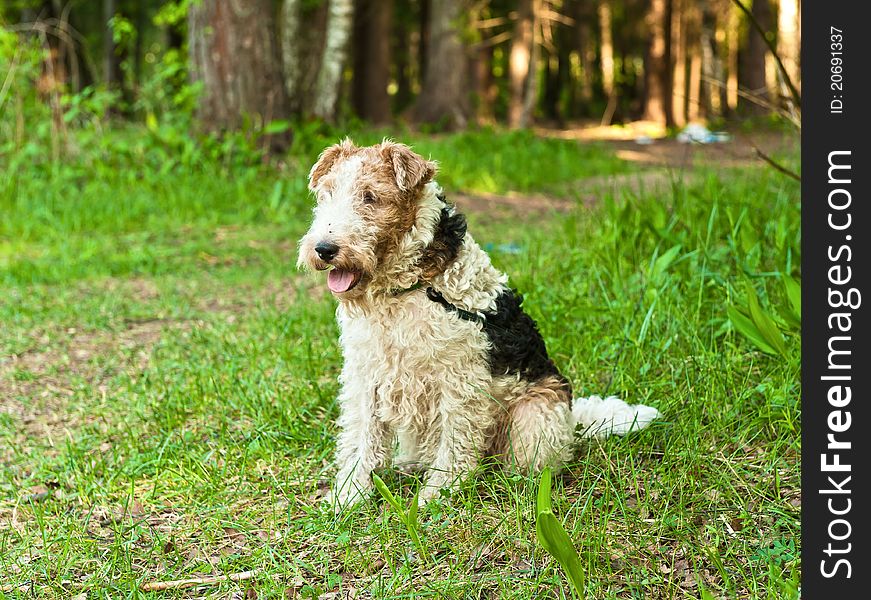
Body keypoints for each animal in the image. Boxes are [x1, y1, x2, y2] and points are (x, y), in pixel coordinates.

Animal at [300, 141, 660, 510]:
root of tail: (574, 421)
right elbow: (360, 440)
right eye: (327, 193)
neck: (410, 286)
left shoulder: (458, 378)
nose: (323, 249)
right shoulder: (367, 373)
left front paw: (437, 494)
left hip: (535, 414)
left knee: (529, 461)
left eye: (370, 196)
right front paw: (348, 495)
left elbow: (454, 441)